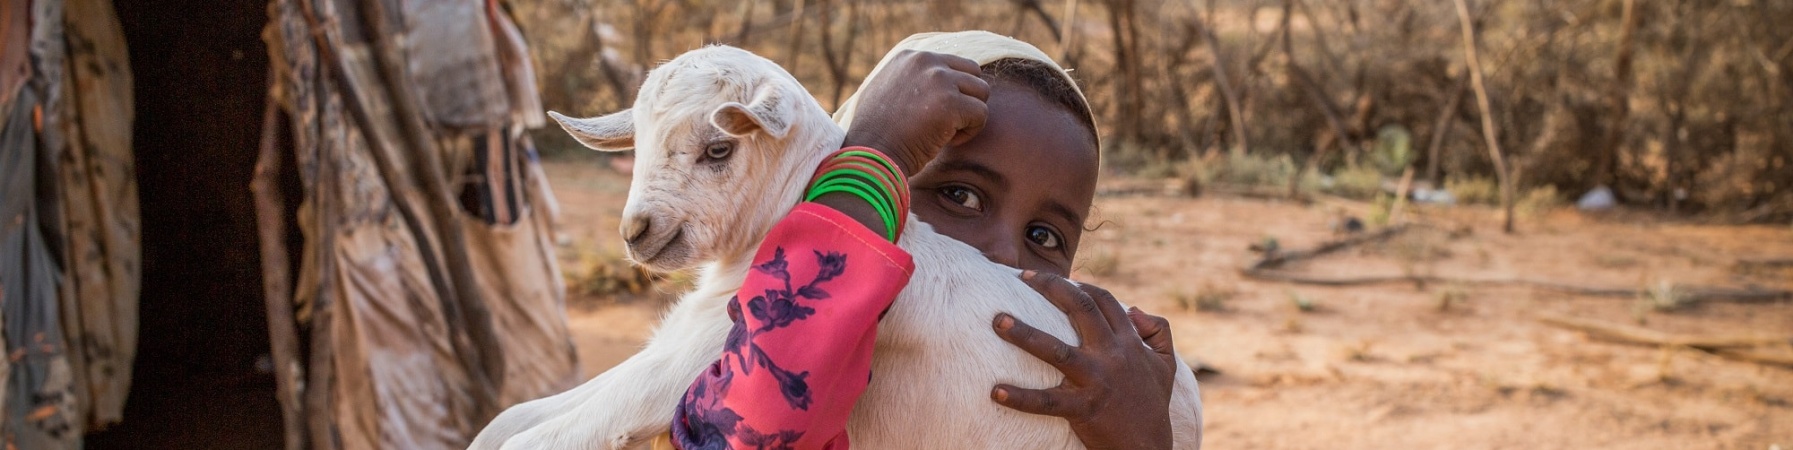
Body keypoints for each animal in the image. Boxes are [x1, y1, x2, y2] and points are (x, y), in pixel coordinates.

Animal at [476, 45, 1204, 450]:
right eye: (640, 145)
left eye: (718, 149)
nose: (638, 231)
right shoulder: (671, 346)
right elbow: (511, 419)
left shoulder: (712, 352)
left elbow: (532, 439)